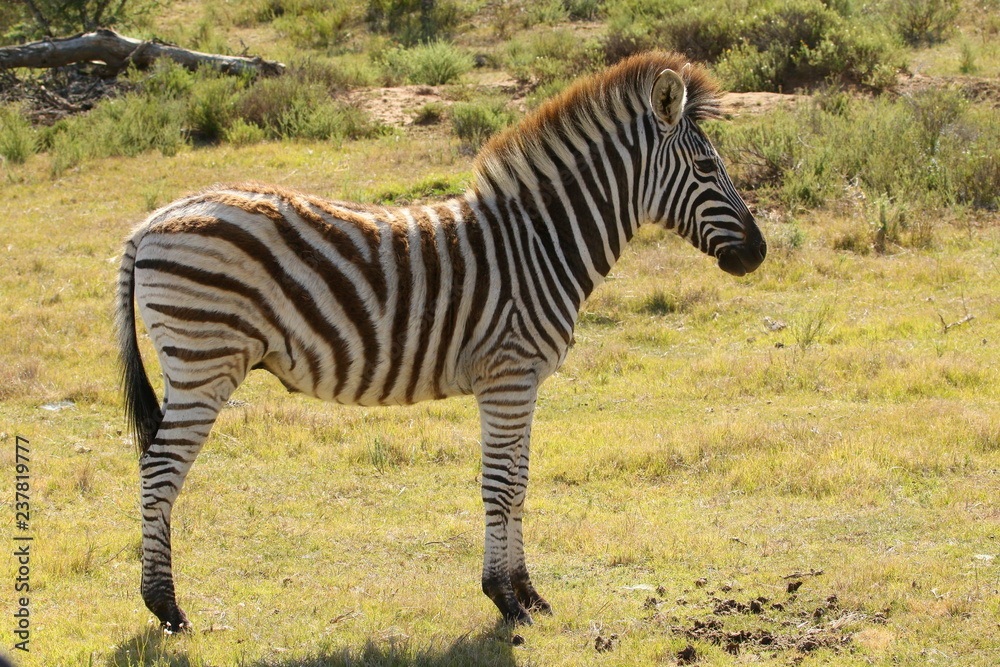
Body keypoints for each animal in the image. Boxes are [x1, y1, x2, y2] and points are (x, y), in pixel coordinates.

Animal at [116, 51, 766, 631]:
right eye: (706, 168)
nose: (759, 252)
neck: (541, 243)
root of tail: (151, 221)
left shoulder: (521, 383)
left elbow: (520, 483)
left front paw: (529, 594)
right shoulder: (507, 376)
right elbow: (500, 487)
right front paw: (505, 600)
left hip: (190, 364)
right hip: (205, 360)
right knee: (159, 469)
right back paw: (166, 608)